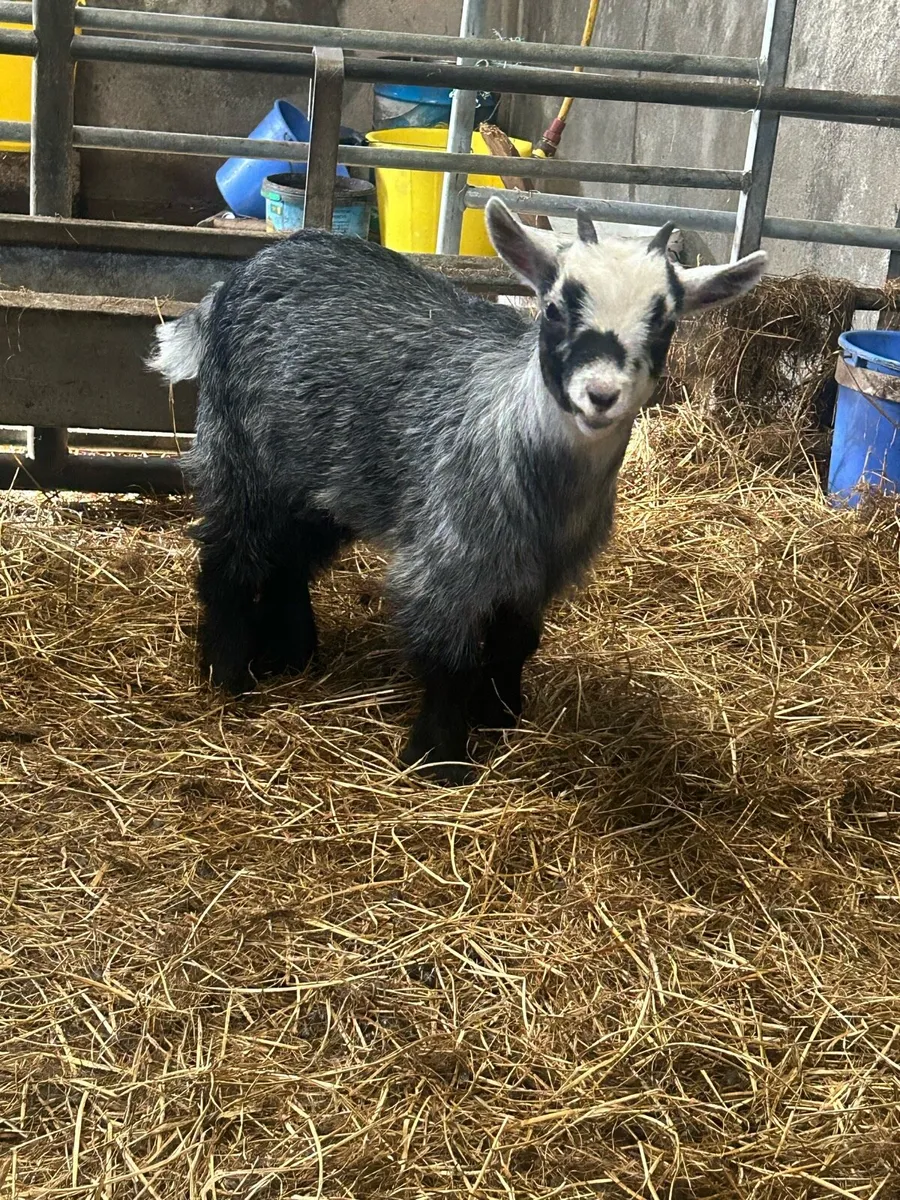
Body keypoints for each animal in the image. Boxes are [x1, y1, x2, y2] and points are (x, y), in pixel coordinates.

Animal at [149, 198, 765, 784]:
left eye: (666, 322)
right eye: (555, 308)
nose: (601, 393)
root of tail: (242, 274)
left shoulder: (535, 574)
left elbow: (516, 641)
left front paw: (501, 714)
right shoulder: (446, 559)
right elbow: (450, 660)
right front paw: (440, 759)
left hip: (320, 478)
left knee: (288, 558)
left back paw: (292, 654)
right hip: (239, 453)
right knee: (229, 554)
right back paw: (228, 672)